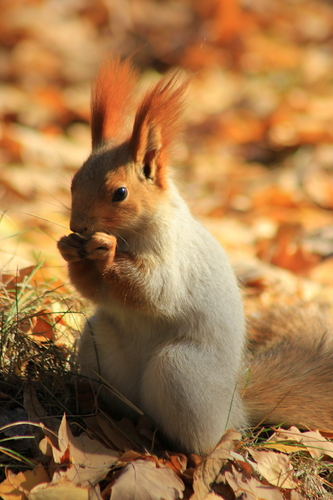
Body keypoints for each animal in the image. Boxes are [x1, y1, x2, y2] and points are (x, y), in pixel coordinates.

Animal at [57, 56, 333, 456]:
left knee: (205, 438)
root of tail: (235, 409)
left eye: (120, 193)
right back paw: (100, 408)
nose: (77, 226)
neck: (131, 236)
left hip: (181, 371)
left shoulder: (173, 256)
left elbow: (154, 290)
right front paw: (68, 249)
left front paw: (105, 251)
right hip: (98, 341)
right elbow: (95, 291)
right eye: (74, 182)